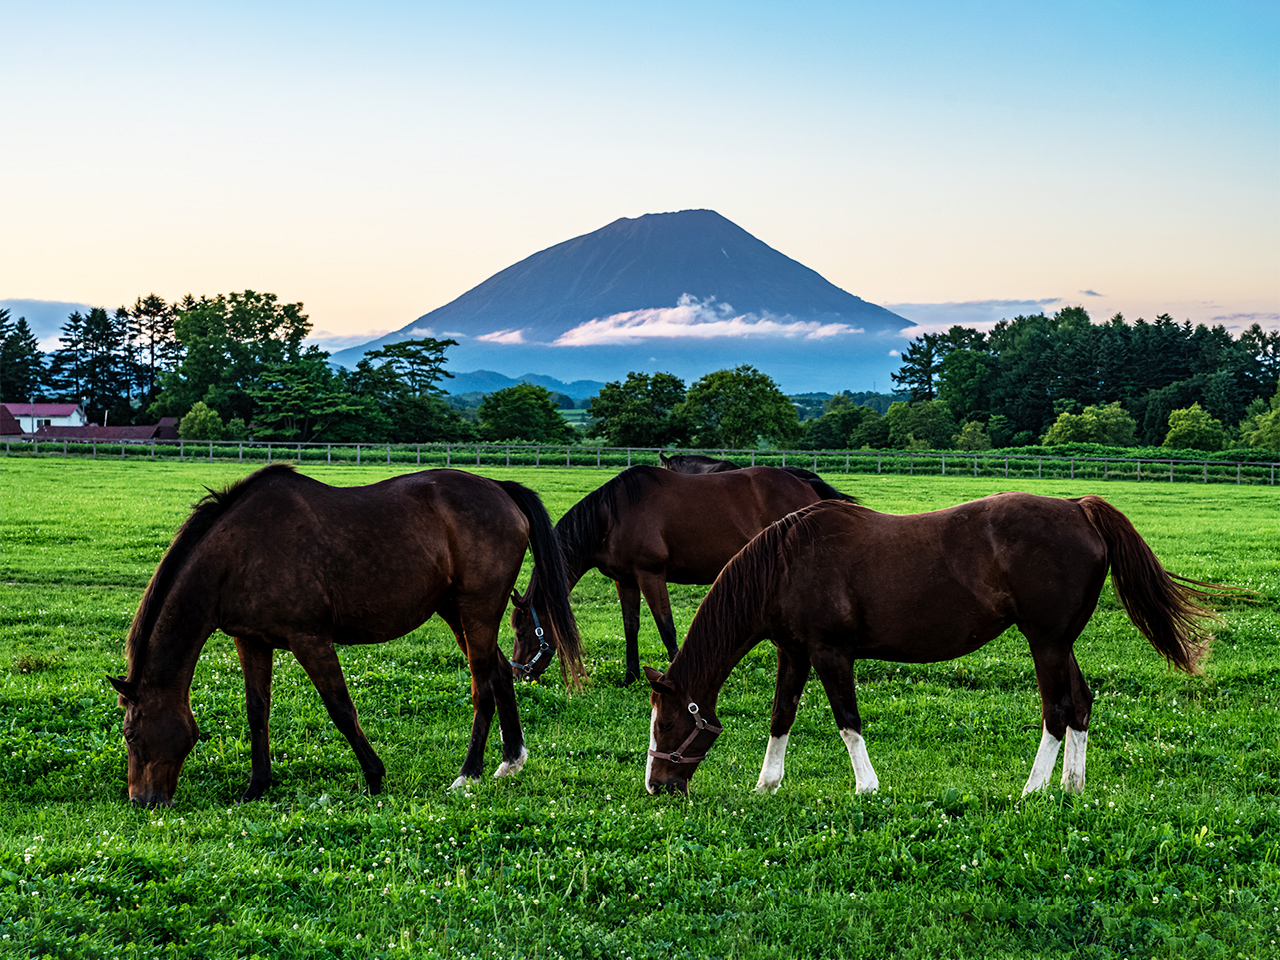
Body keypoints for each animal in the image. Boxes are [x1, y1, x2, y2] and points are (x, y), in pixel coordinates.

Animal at [108, 464, 581, 806]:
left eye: (131, 734)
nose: (142, 801)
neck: (237, 552)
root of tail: (499, 488)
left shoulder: (310, 640)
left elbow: (340, 708)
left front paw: (373, 776)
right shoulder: (252, 641)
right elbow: (257, 712)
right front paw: (256, 786)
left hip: (477, 611)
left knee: (483, 685)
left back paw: (468, 774)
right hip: (457, 612)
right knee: (499, 674)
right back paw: (510, 761)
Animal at [510, 465, 854, 685]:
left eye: (522, 631)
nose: (518, 673)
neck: (612, 516)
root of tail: (805, 482)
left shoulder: (651, 575)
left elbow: (666, 627)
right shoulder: (626, 580)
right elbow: (631, 626)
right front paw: (630, 676)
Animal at [644, 493, 1227, 797]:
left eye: (666, 724)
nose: (656, 786)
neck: (786, 565)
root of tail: (1077, 507)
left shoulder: (832, 653)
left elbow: (847, 720)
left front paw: (867, 787)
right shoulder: (796, 652)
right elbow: (781, 715)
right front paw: (767, 784)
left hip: (1046, 643)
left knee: (1058, 709)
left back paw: (1034, 789)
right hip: (1062, 644)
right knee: (1081, 705)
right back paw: (1071, 787)